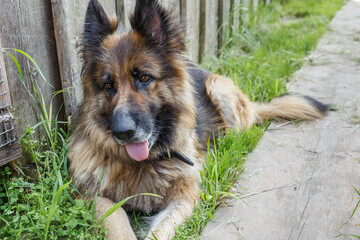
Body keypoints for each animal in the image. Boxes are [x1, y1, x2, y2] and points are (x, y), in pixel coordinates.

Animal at [68, 0, 330, 238]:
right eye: (108, 85)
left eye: (144, 78)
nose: (122, 132)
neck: (145, 163)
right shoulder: (91, 196)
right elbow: (118, 220)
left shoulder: (186, 194)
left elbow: (161, 230)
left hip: (218, 89)